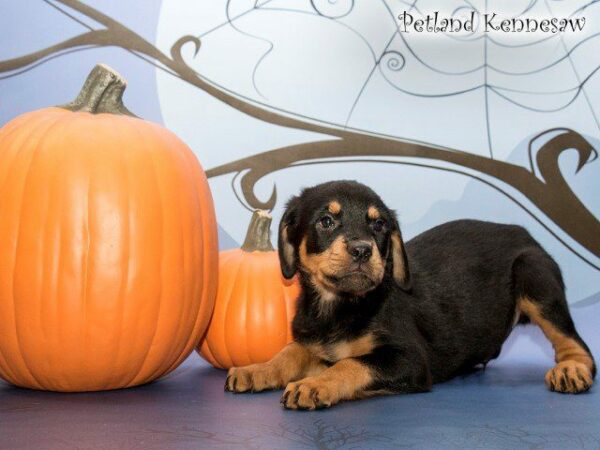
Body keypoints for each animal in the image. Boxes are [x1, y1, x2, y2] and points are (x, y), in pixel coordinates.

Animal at [225, 181, 596, 410]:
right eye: (326, 221)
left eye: (378, 225)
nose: (363, 250)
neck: (340, 304)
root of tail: (523, 232)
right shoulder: (313, 340)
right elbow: (291, 351)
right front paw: (257, 370)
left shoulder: (409, 360)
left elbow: (351, 363)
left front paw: (316, 385)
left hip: (534, 275)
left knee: (577, 345)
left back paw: (572, 370)